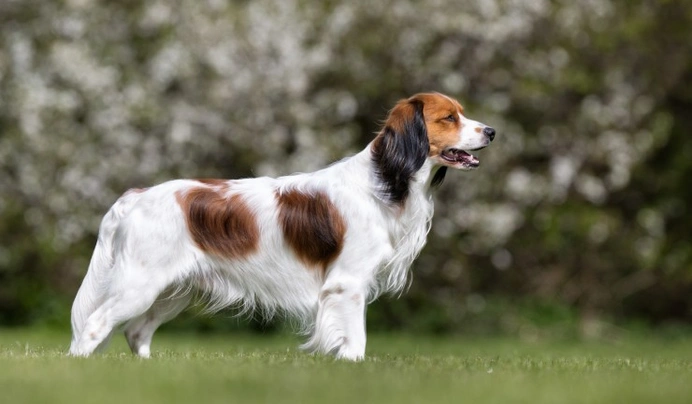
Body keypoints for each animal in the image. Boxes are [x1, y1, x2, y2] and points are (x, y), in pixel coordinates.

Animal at [69, 91, 492, 360]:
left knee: (135, 332)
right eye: (449, 118)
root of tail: (136, 195)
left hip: (171, 291)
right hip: (139, 285)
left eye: (462, 113)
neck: (384, 182)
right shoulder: (348, 284)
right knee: (93, 326)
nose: (491, 131)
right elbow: (355, 340)